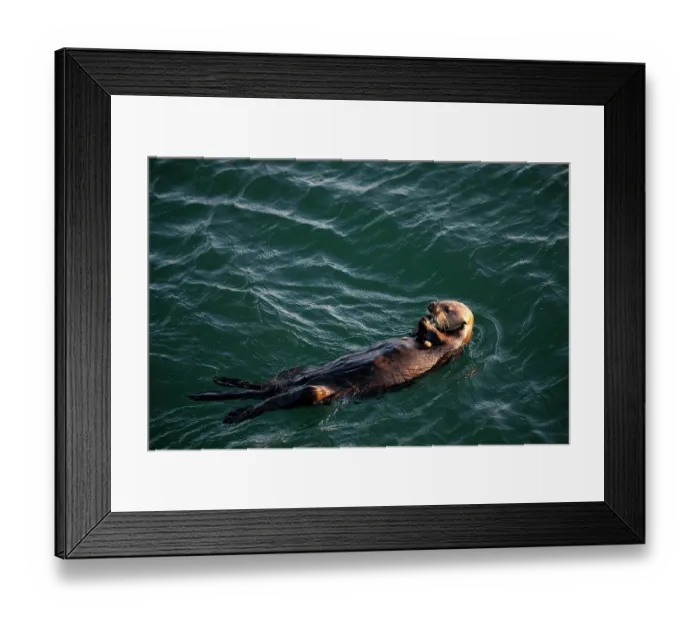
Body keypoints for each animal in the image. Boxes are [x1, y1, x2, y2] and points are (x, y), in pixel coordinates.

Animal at [189, 300, 474, 424]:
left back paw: (233, 414)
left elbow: (439, 340)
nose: (431, 305)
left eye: (447, 308)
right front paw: (419, 323)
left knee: (273, 400)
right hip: (295, 372)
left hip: (313, 392)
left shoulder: (450, 347)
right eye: (440, 302)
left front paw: (428, 325)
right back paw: (216, 385)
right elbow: (416, 335)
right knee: (263, 387)